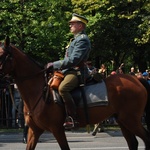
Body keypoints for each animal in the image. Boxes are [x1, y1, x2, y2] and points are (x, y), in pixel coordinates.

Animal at [0, 36, 150, 150]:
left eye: (2, 55)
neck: (39, 92)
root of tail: (137, 80)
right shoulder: (34, 131)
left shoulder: (57, 129)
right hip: (122, 120)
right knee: (133, 143)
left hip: (131, 120)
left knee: (146, 138)